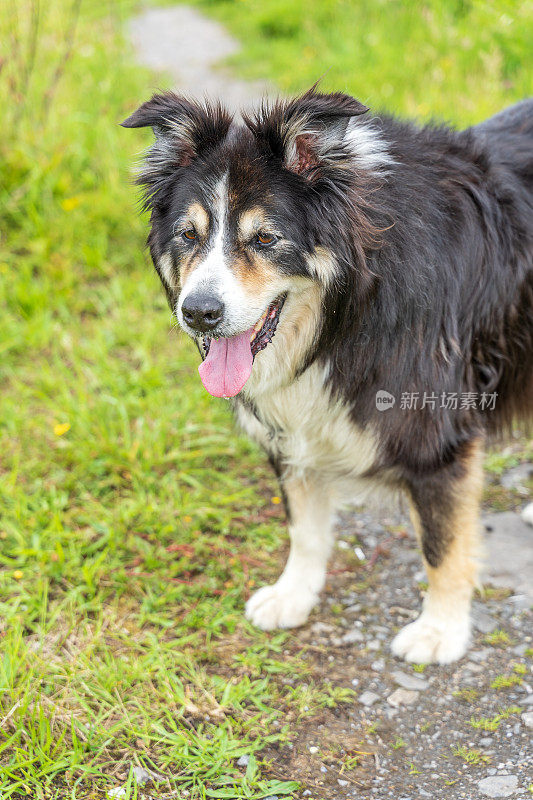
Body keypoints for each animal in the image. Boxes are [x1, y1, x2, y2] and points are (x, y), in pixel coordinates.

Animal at [121, 87, 532, 664]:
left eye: (265, 239)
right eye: (188, 234)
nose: (198, 312)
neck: (350, 308)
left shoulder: (437, 437)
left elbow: (442, 542)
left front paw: (440, 630)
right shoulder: (292, 428)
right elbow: (305, 526)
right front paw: (294, 595)